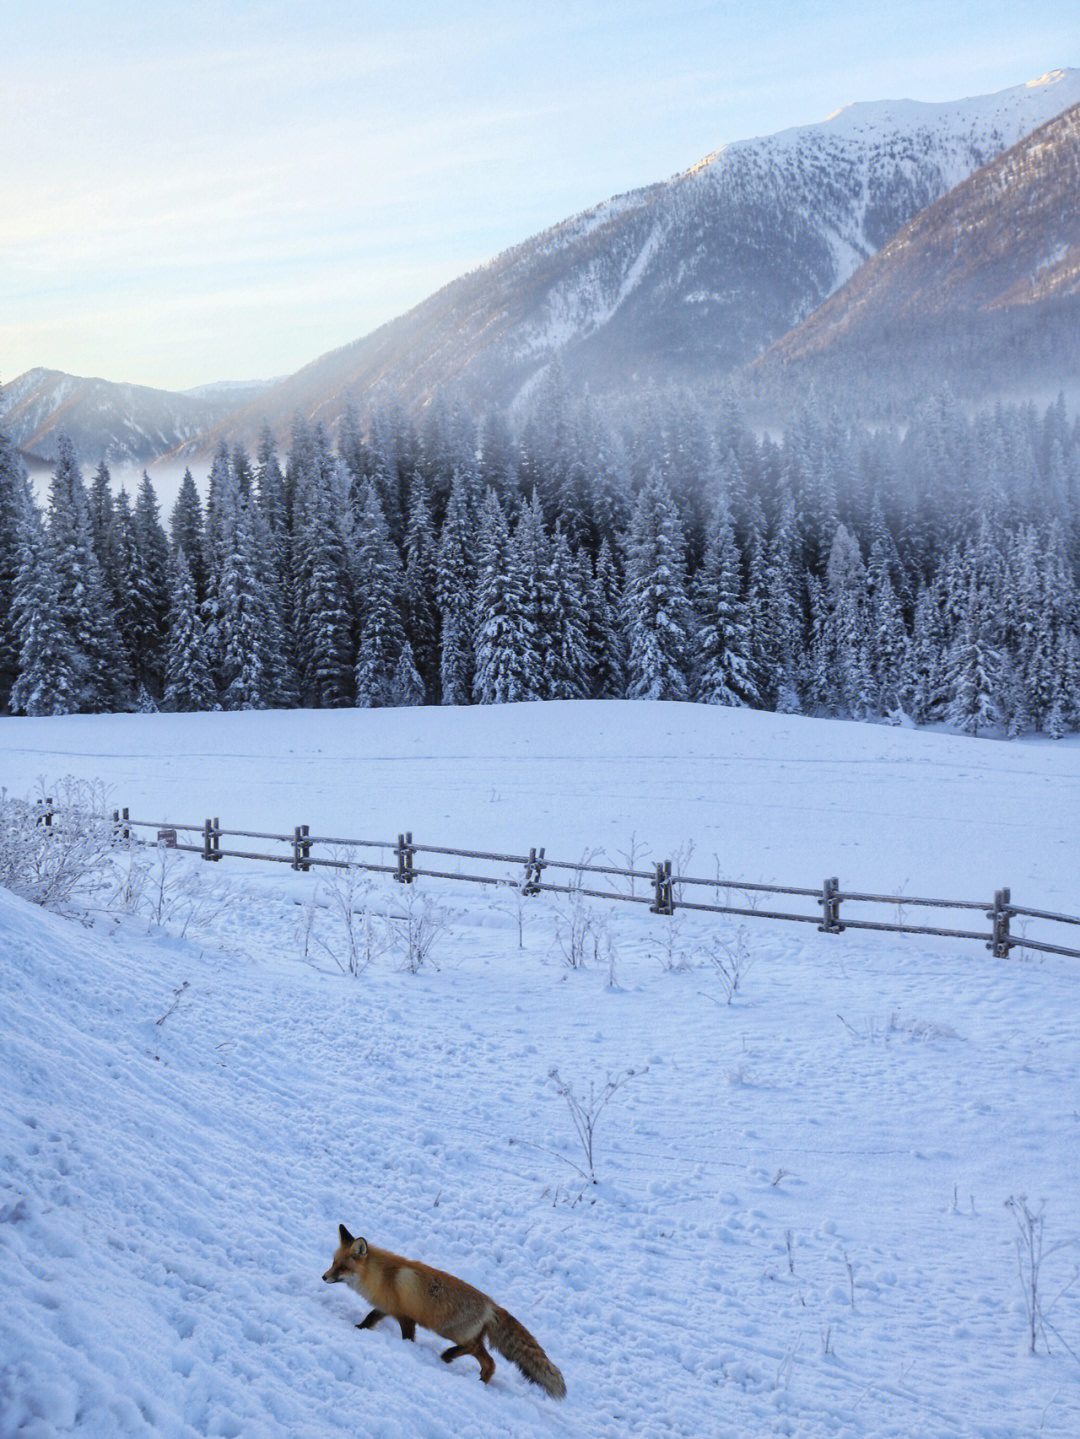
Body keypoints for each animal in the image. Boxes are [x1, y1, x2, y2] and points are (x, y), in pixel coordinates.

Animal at [323, 1226, 566, 1392]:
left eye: (342, 1267)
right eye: (333, 1262)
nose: (324, 1277)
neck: (382, 1276)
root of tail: (492, 1305)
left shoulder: (405, 1316)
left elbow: (407, 1337)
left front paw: (407, 1349)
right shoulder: (385, 1308)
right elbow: (368, 1320)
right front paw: (358, 1328)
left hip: (452, 1332)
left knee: (477, 1351)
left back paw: (448, 1357)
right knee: (490, 1362)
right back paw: (481, 1381)